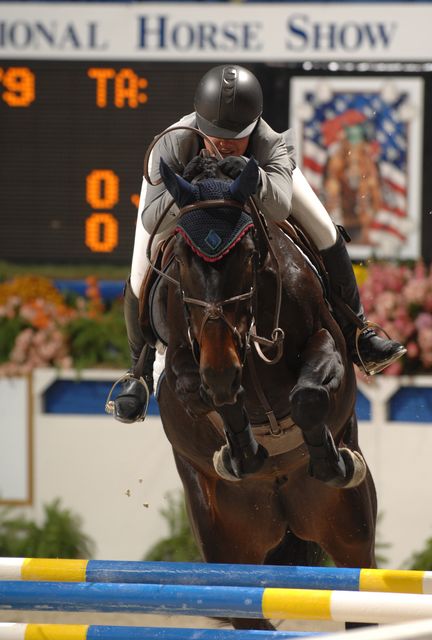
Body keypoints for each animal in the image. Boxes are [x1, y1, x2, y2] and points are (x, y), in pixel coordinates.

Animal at [144, 154, 374, 632]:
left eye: (249, 254)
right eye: (181, 259)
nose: (221, 367)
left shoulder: (328, 343)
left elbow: (308, 396)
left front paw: (331, 461)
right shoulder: (184, 357)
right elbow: (203, 393)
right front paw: (242, 453)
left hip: (350, 531)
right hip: (227, 545)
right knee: (247, 611)